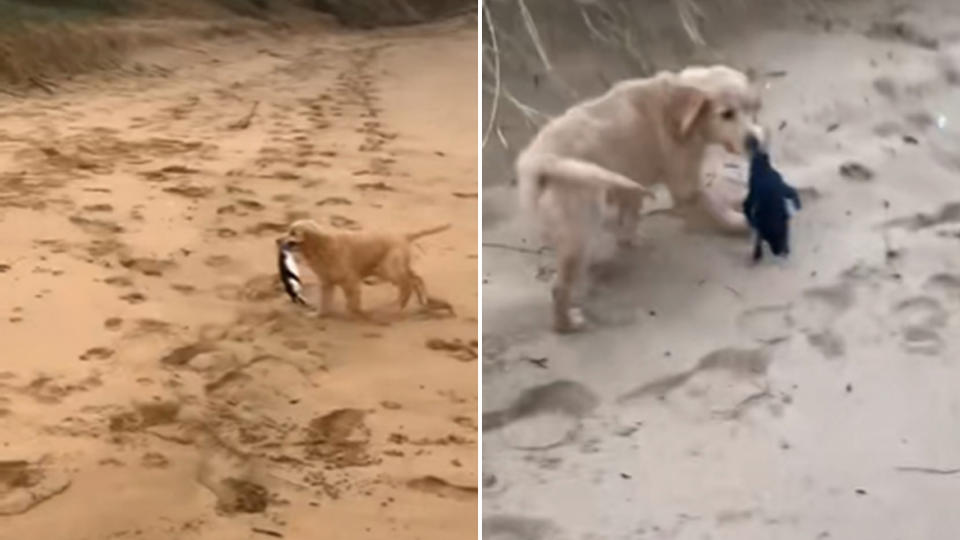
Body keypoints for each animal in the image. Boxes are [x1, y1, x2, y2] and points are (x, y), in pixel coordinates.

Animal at [282, 219, 450, 318]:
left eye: (292, 233)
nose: (278, 240)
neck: (321, 247)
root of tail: (404, 235)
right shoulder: (326, 283)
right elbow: (325, 302)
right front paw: (317, 314)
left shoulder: (350, 280)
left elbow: (353, 302)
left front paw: (359, 313)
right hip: (392, 267)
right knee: (416, 278)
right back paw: (422, 301)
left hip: (388, 268)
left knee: (407, 283)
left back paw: (399, 306)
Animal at [516, 65, 764, 332]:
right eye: (726, 114)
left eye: (753, 109)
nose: (756, 141)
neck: (678, 110)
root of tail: (537, 163)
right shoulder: (686, 184)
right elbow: (716, 208)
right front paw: (742, 222)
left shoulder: (631, 183)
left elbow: (630, 215)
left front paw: (631, 239)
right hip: (580, 227)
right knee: (559, 288)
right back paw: (567, 323)